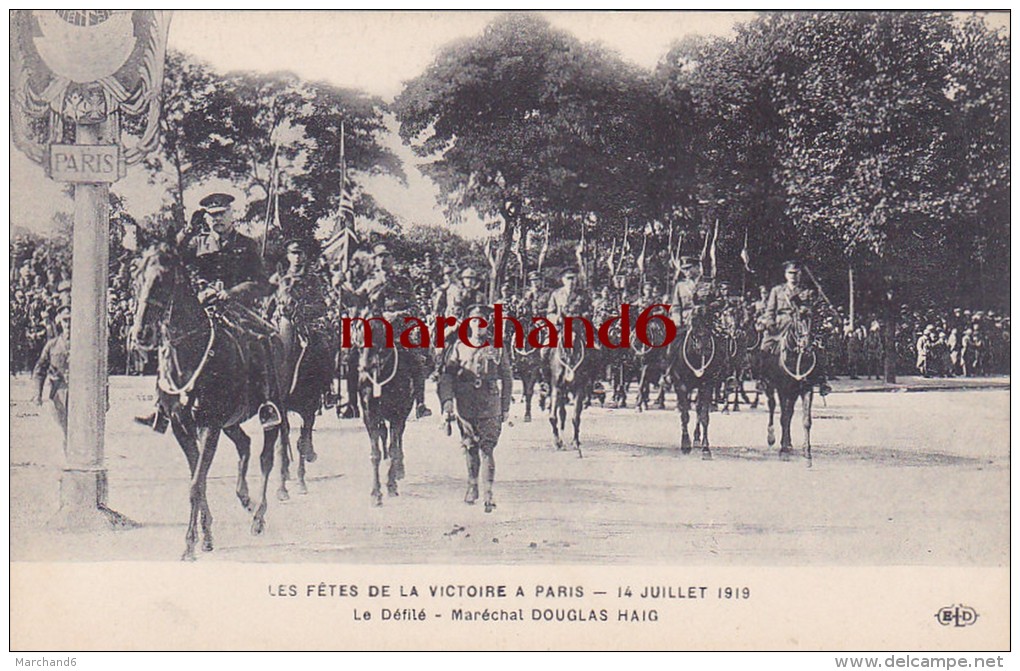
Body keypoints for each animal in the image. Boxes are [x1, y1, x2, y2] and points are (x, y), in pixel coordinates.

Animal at [130, 242, 287, 554]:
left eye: (162, 279)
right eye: (137, 277)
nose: (141, 333)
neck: (189, 354)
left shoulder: (209, 426)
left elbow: (196, 483)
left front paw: (190, 543)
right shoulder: (182, 427)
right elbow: (198, 478)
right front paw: (206, 533)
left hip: (271, 412)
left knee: (265, 458)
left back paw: (258, 516)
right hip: (231, 422)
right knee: (244, 444)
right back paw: (244, 497)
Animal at [352, 316, 412, 503]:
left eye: (380, 333)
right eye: (359, 331)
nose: (365, 366)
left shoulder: (397, 414)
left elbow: (394, 448)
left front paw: (391, 485)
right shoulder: (369, 414)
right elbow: (375, 452)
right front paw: (376, 493)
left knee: (398, 438)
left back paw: (399, 468)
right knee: (383, 434)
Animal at [762, 307, 816, 460]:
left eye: (811, 320)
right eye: (798, 321)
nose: (807, 346)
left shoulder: (806, 389)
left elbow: (806, 420)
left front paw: (807, 449)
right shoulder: (783, 389)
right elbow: (783, 417)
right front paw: (783, 448)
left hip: (793, 393)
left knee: (789, 413)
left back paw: (788, 442)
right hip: (769, 385)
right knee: (773, 406)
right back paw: (772, 438)